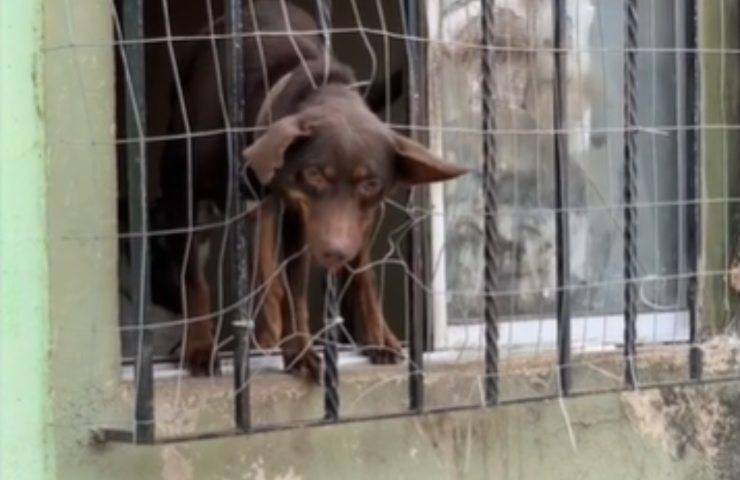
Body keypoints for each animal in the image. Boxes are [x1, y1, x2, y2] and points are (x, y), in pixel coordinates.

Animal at [155, 1, 468, 380]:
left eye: (371, 184)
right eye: (315, 174)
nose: (336, 252)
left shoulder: (300, 217)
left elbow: (296, 287)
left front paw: (298, 350)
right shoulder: (183, 198)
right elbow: (194, 279)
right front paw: (200, 347)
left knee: (361, 274)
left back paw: (376, 336)